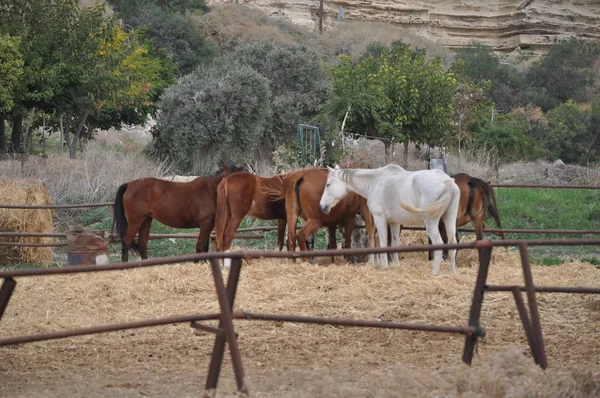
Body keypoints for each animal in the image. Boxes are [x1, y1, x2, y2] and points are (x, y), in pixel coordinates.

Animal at [112, 162, 244, 262]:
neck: (211, 191)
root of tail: (129, 185)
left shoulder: (205, 226)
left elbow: (199, 246)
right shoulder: (206, 224)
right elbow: (203, 247)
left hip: (146, 220)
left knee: (142, 244)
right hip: (135, 221)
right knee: (126, 242)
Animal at [322, 164, 462, 274]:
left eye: (328, 184)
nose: (322, 206)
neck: (375, 181)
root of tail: (448, 181)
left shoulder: (380, 219)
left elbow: (383, 243)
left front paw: (384, 266)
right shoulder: (395, 223)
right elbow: (394, 244)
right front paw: (396, 266)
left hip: (431, 223)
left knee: (438, 243)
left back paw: (434, 273)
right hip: (449, 218)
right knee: (452, 243)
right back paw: (452, 272)